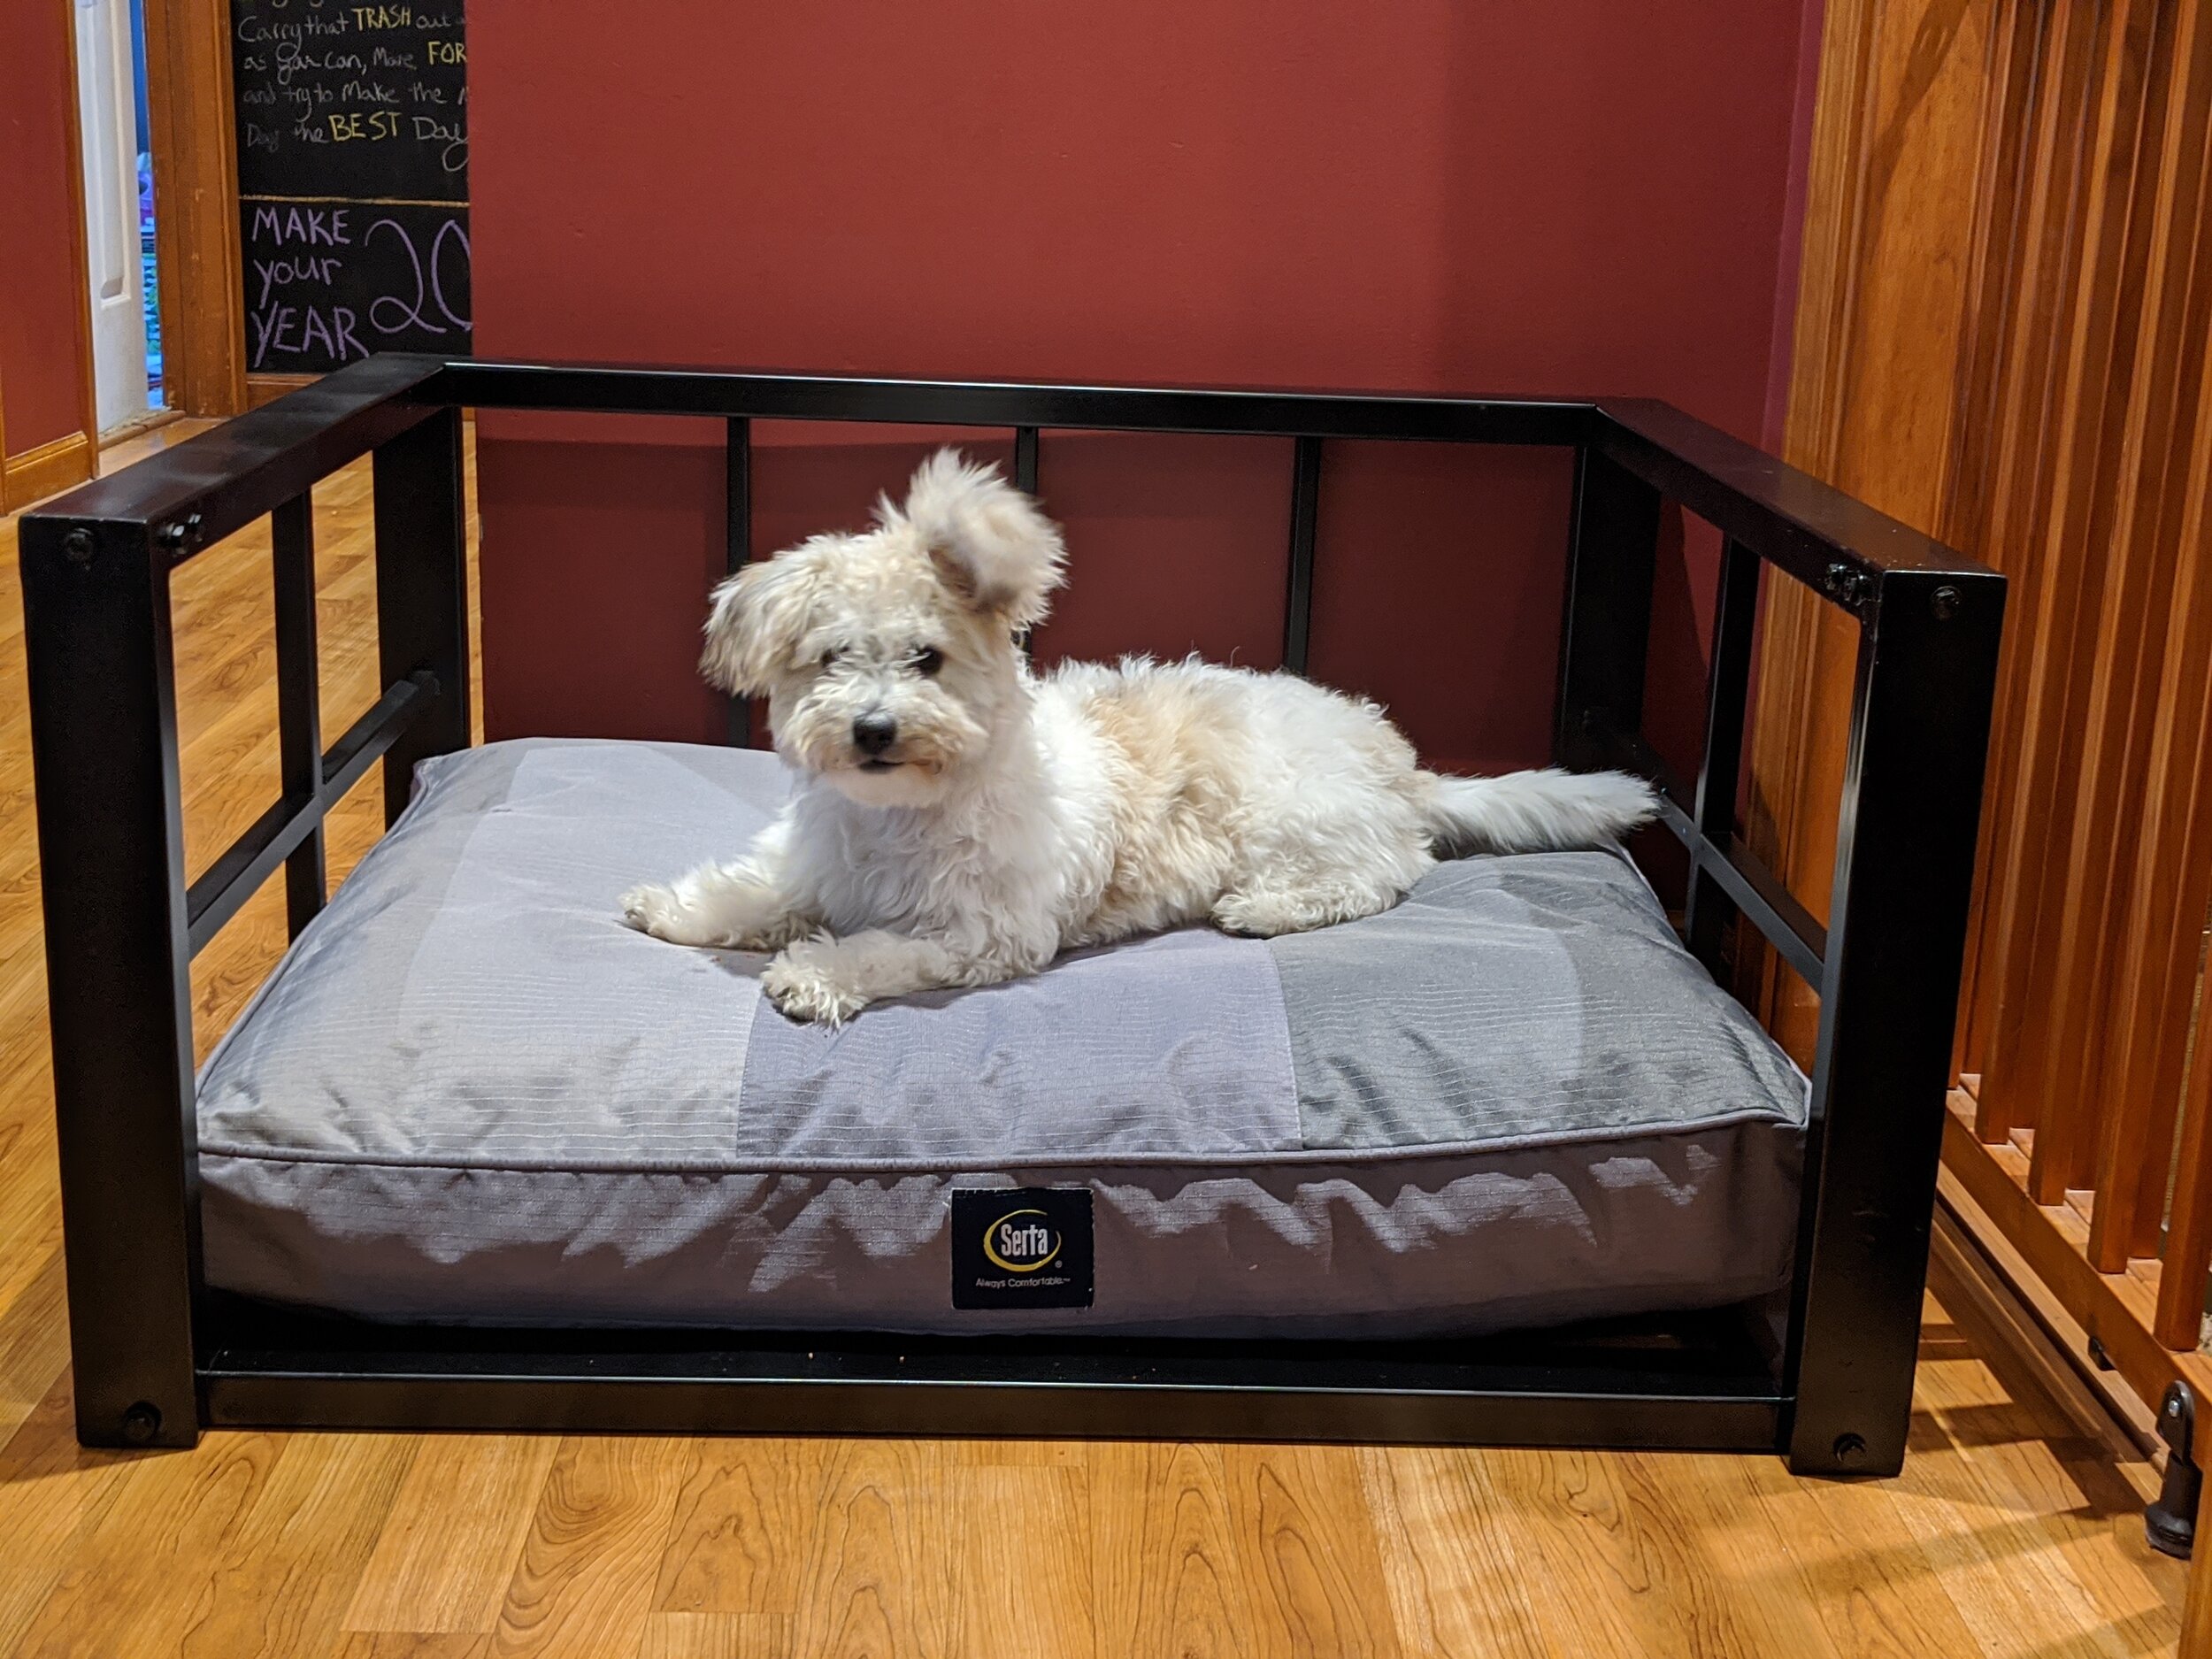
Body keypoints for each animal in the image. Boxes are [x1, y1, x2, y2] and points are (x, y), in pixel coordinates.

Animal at [615, 456, 1655, 1026]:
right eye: (832, 657)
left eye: (927, 659)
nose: (872, 728)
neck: (902, 813)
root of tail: (1404, 770)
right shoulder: (817, 863)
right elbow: (755, 891)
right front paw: (675, 906)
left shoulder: (983, 932)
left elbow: (879, 950)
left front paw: (815, 973)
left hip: (1296, 821)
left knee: (1381, 874)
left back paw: (1265, 908)